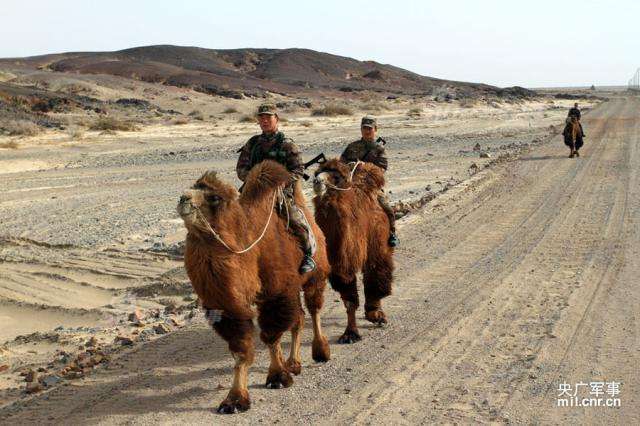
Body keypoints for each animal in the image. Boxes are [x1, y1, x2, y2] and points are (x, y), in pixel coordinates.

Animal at [179, 160, 332, 412]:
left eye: (214, 198)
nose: (183, 198)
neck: (249, 248)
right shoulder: (229, 306)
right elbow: (241, 350)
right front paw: (234, 399)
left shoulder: (277, 293)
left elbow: (271, 335)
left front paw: (277, 377)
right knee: (299, 319)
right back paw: (294, 363)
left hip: (315, 276)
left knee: (314, 310)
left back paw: (320, 352)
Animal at [312, 159, 392, 342]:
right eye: (318, 172)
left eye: (336, 176)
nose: (317, 181)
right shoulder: (339, 262)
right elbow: (349, 298)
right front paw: (350, 334)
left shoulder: (371, 245)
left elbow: (374, 276)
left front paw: (375, 315)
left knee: (376, 273)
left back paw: (376, 313)